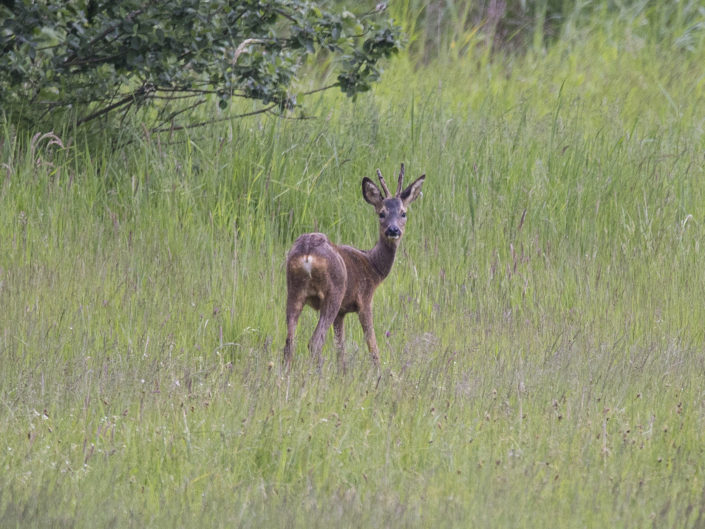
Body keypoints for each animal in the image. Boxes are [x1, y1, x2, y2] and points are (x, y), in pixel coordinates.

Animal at [283, 163, 426, 370]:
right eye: (381, 213)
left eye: (403, 213)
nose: (393, 230)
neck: (373, 266)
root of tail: (307, 253)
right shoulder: (364, 300)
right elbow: (372, 345)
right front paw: (379, 373)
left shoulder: (342, 312)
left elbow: (340, 348)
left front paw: (342, 372)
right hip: (333, 292)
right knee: (315, 341)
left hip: (294, 291)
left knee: (289, 342)